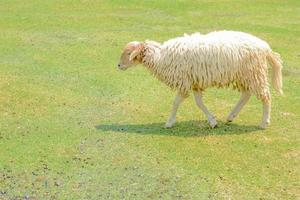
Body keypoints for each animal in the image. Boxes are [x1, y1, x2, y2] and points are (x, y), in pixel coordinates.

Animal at [118, 30, 284, 129]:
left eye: (128, 53)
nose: (118, 65)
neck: (161, 57)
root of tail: (265, 48)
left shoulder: (184, 81)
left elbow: (176, 102)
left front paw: (169, 122)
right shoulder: (195, 82)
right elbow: (199, 103)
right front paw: (213, 121)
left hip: (254, 72)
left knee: (266, 96)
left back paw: (264, 122)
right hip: (246, 74)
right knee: (246, 94)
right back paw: (231, 116)